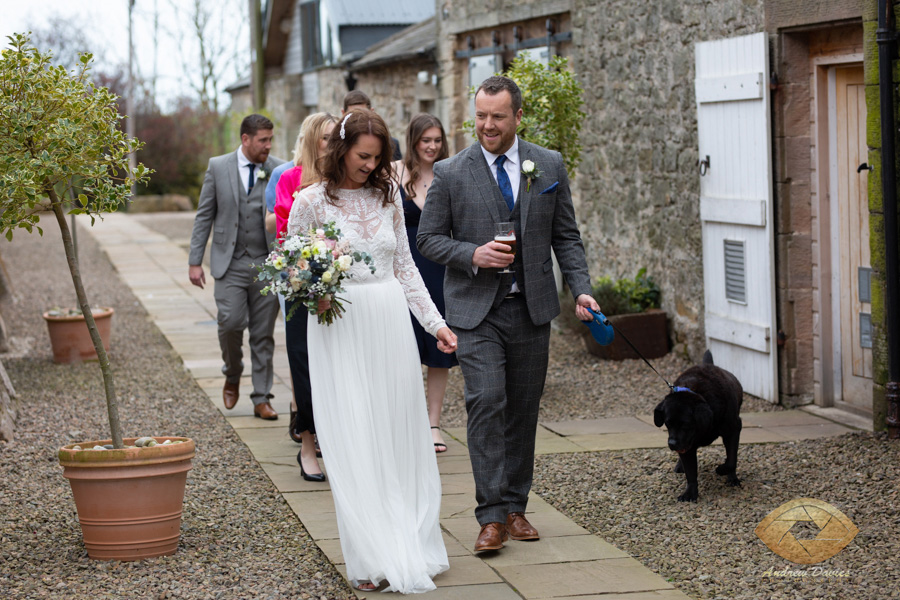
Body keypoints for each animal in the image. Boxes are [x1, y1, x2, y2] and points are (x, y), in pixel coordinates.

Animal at [652, 352, 744, 502]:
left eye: (685, 424)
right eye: (667, 423)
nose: (672, 443)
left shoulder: (733, 430)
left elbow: (731, 460)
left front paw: (722, 470)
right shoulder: (687, 446)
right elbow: (690, 472)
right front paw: (690, 493)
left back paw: (732, 478)